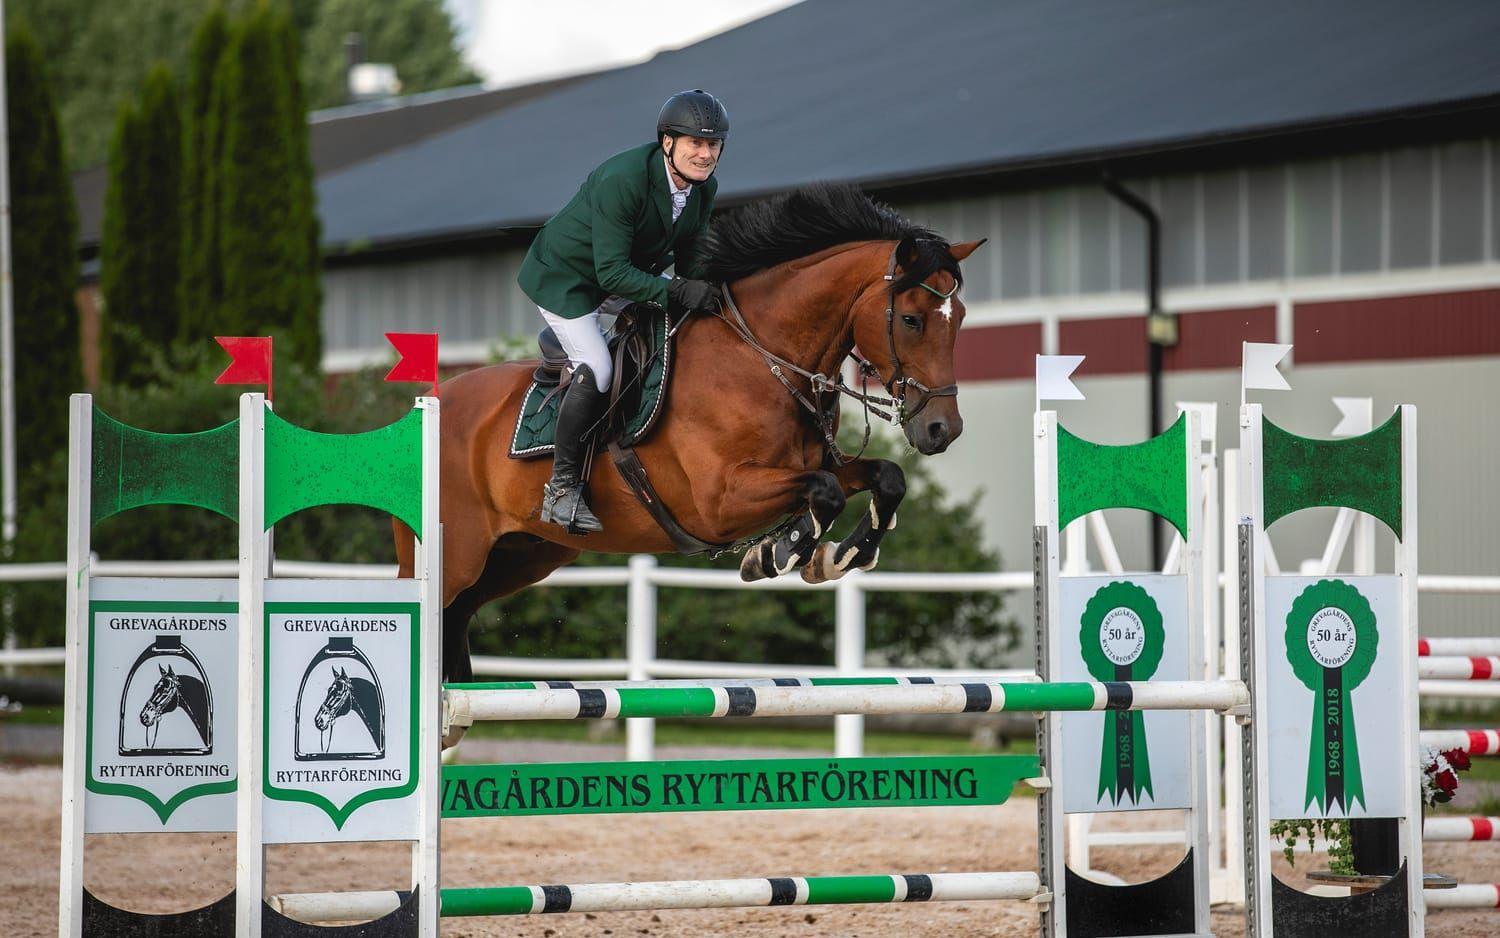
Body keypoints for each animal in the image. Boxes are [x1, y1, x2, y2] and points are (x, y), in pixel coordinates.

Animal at [396, 183, 984, 699]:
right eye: (910, 320)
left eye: (958, 320)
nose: (943, 430)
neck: (762, 356)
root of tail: (426, 410)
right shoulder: (719, 501)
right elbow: (824, 491)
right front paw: (779, 554)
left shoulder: (807, 466)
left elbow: (884, 478)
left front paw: (834, 558)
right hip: (455, 556)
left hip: (523, 554)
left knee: (459, 612)